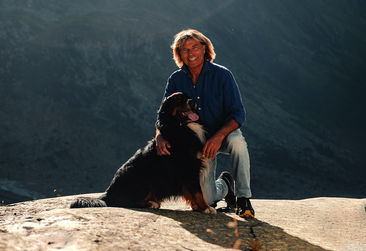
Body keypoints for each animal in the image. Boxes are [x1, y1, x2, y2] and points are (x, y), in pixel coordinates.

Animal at [70, 92, 216, 214]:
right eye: (178, 99)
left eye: (189, 96)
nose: (192, 101)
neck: (181, 126)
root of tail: (108, 192)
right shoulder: (188, 168)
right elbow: (197, 191)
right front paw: (206, 208)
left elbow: (192, 192)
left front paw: (198, 207)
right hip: (142, 181)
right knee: (125, 202)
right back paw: (151, 203)